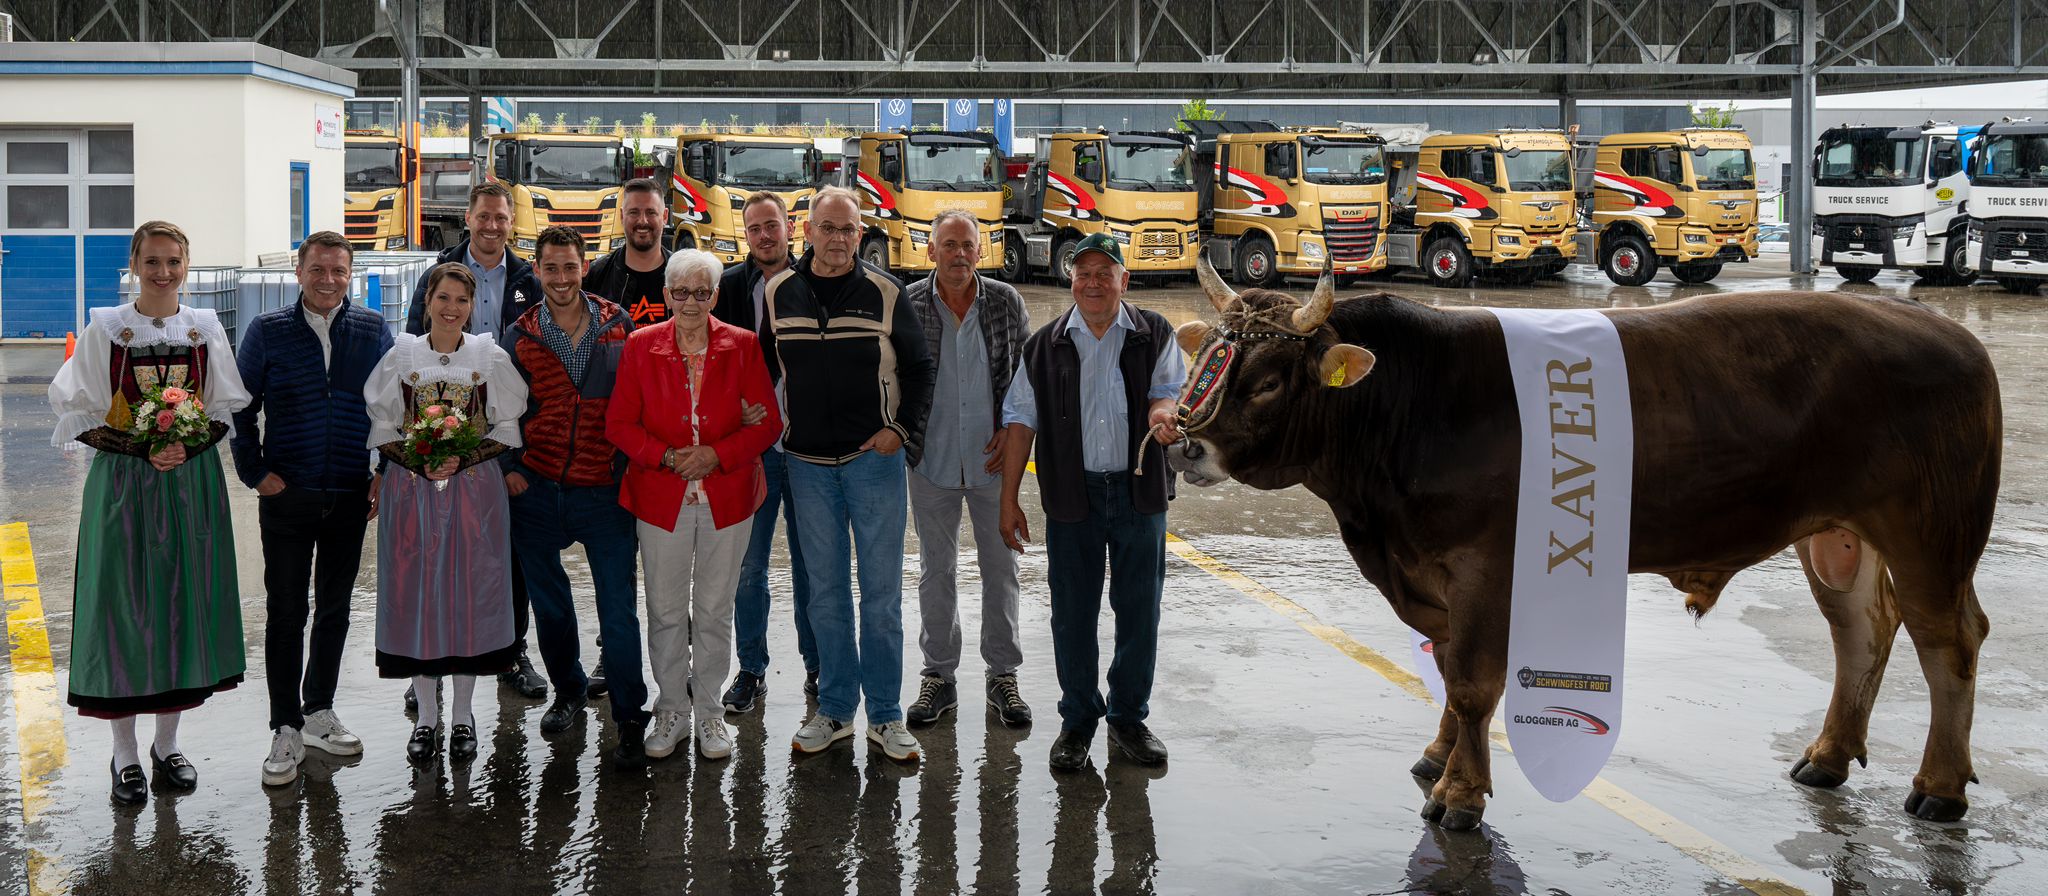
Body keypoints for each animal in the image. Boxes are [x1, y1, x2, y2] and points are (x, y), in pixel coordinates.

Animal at [1171, 258, 1998, 834]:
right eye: (1206, 360)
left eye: (1268, 381)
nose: (1182, 444)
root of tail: (1949, 332)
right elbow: (1449, 675)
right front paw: (1438, 757)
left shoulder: (1485, 568)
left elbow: (1472, 683)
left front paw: (1460, 793)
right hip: (1838, 537)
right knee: (1860, 632)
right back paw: (1827, 757)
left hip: (1931, 533)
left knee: (1948, 643)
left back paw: (1939, 787)